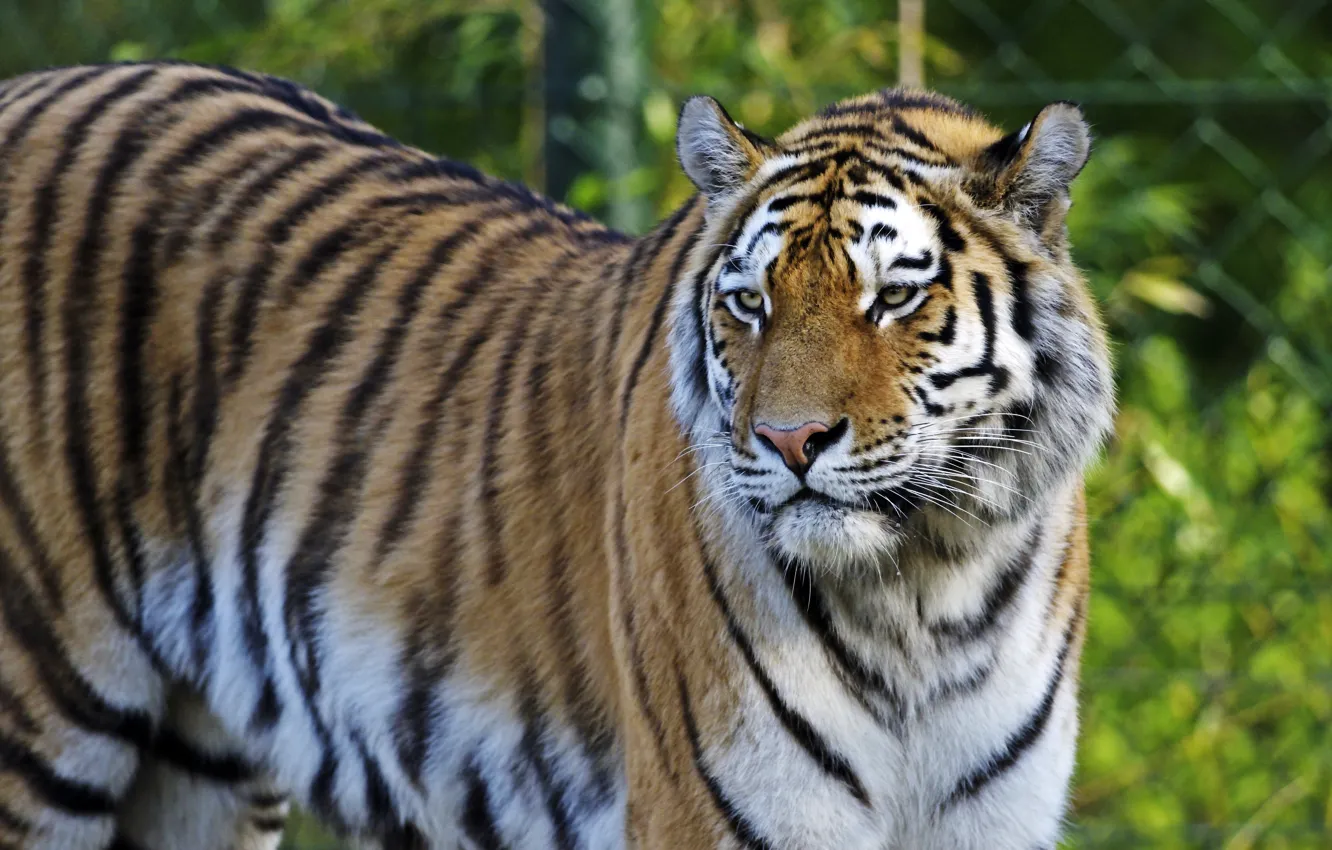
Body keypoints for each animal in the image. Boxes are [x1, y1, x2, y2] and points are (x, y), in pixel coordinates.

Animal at [0, 61, 1113, 850]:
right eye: (749, 304)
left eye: (894, 297)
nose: (788, 440)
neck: (929, 586)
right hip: (38, 715)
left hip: (202, 762)